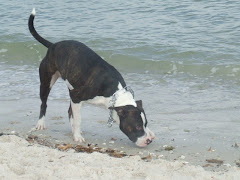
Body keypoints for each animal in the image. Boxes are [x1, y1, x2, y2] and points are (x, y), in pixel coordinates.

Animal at [28, 8, 156, 147]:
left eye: (146, 124)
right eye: (137, 126)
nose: (148, 140)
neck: (113, 93)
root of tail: (53, 45)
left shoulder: (75, 96)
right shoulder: (77, 98)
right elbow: (78, 119)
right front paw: (78, 137)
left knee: (69, 111)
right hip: (47, 81)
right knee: (44, 103)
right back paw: (41, 123)